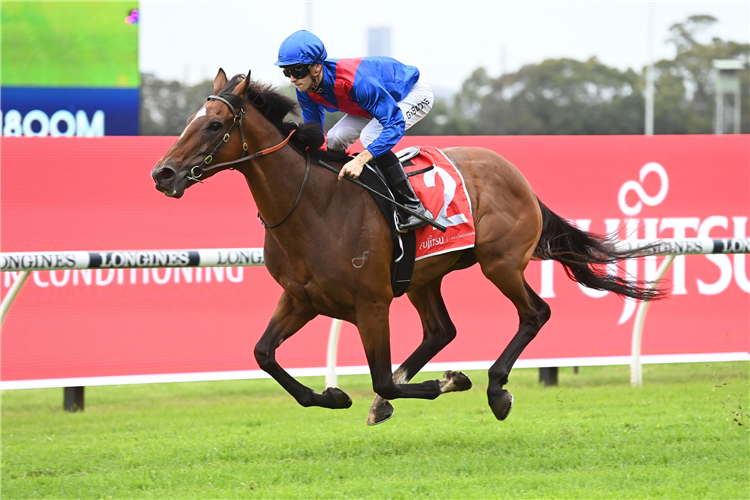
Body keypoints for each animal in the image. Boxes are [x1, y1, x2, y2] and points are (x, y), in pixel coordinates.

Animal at [151, 69, 664, 425]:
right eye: (191, 120)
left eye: (215, 125)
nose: (163, 173)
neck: (311, 205)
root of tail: (517, 176)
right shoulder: (301, 298)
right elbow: (263, 354)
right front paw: (333, 395)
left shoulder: (372, 304)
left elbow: (380, 374)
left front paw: (450, 380)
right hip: (422, 277)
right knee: (441, 331)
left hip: (499, 263)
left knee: (534, 313)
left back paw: (496, 389)